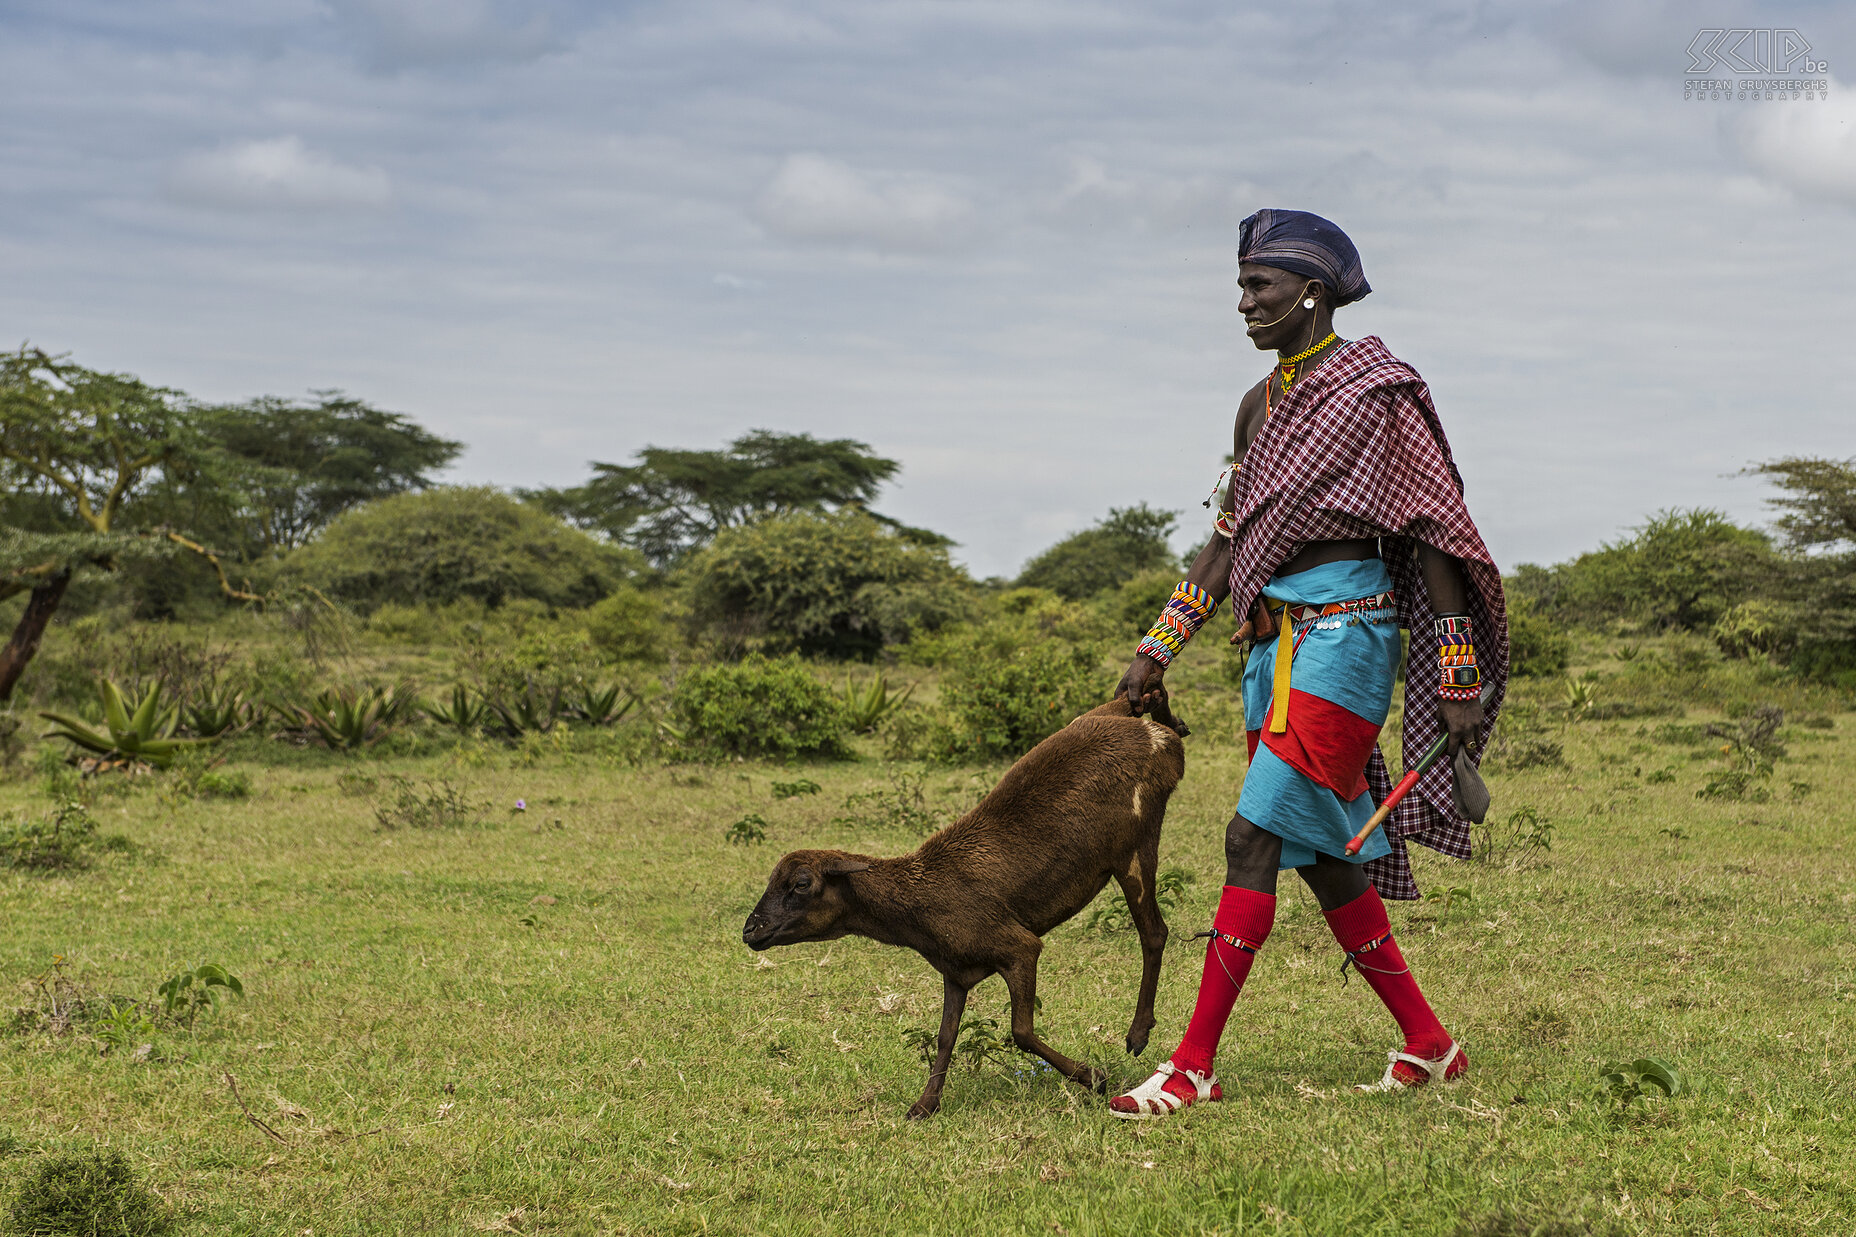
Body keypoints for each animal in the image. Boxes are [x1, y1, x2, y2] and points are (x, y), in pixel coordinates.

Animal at [738, 698, 1187, 1114]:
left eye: (801, 884)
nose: (750, 930)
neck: (916, 902)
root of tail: (1157, 737)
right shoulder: (955, 972)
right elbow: (945, 1037)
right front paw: (925, 1104)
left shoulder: (1017, 946)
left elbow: (1021, 1032)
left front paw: (1092, 1077)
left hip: (1134, 844)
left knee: (1154, 932)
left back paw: (1138, 1032)